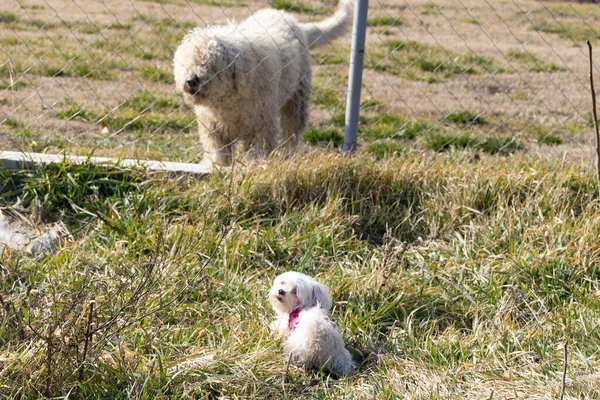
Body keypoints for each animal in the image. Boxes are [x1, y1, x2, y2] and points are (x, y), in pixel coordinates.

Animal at [172, 0, 352, 166]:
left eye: (211, 64)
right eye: (187, 62)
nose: (191, 80)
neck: (231, 96)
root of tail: (294, 21)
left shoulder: (261, 123)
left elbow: (258, 149)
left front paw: (254, 166)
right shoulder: (213, 127)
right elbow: (218, 152)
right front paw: (218, 167)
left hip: (297, 98)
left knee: (292, 132)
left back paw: (288, 155)